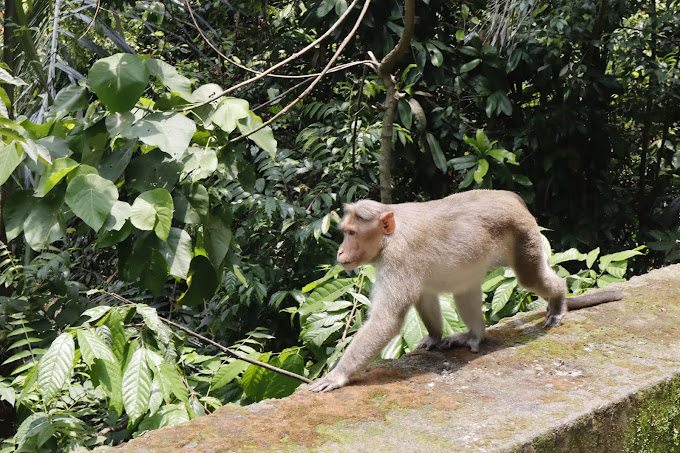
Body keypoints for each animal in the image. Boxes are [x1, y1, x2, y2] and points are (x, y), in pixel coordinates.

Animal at [310, 189, 624, 390]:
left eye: (351, 233)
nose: (340, 252)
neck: (390, 237)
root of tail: (510, 196)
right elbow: (425, 295)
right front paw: (435, 336)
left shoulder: (399, 258)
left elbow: (387, 319)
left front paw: (337, 376)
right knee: (464, 292)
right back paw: (474, 335)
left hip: (523, 235)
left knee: (530, 278)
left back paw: (558, 301)